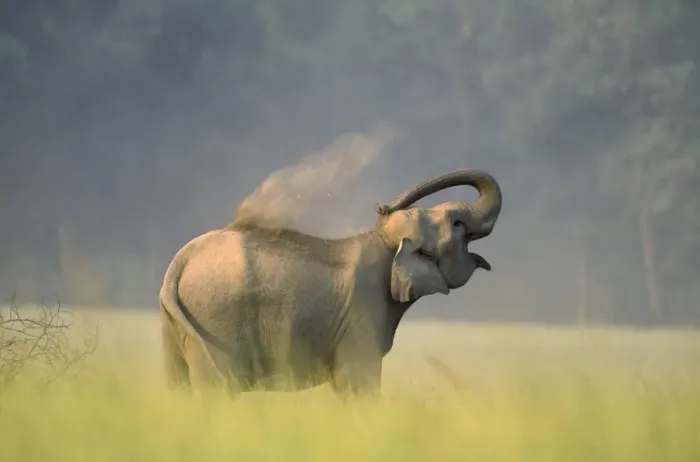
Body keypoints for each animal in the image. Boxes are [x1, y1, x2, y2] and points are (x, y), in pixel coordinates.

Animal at [159, 168, 503, 399]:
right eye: (457, 224)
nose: (382, 206)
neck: (384, 240)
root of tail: (181, 261)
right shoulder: (363, 311)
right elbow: (358, 382)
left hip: (177, 324)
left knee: (178, 387)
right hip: (216, 322)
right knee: (216, 391)